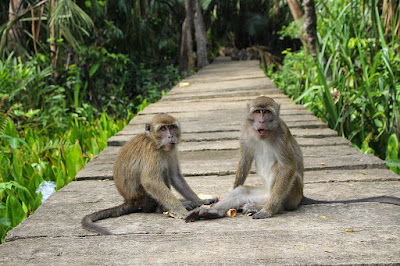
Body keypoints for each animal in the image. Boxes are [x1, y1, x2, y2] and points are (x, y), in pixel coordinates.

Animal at [81, 113, 217, 234]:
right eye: (163, 129)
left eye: (172, 127)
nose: (170, 136)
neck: (156, 143)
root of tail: (129, 200)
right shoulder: (152, 153)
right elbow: (150, 181)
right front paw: (182, 211)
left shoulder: (171, 151)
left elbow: (175, 176)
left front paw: (201, 201)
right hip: (143, 198)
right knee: (161, 174)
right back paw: (163, 208)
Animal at [185, 96, 400, 222]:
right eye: (257, 111)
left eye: (267, 112)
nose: (261, 120)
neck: (263, 134)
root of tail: (301, 197)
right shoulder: (245, 132)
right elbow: (244, 161)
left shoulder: (281, 135)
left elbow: (288, 167)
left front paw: (268, 211)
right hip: (265, 192)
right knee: (242, 192)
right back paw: (213, 211)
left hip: (290, 194)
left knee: (282, 172)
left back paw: (267, 207)